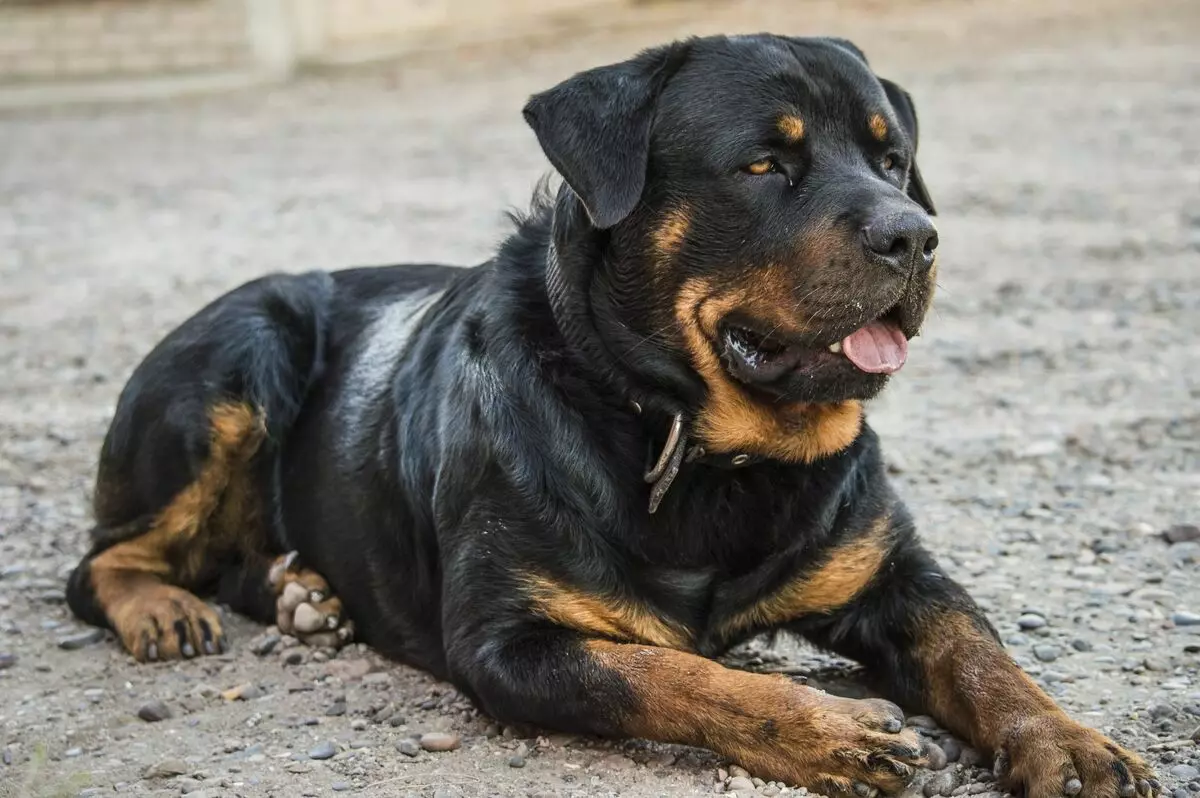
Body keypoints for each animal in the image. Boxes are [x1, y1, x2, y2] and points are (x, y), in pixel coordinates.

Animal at [68, 34, 1161, 792]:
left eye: (893, 161)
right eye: (765, 165)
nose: (916, 234)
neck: (698, 441)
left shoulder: (892, 572)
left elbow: (980, 655)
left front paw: (1070, 742)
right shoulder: (509, 643)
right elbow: (670, 674)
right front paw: (826, 729)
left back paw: (301, 594)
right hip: (238, 358)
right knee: (103, 562)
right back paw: (163, 610)